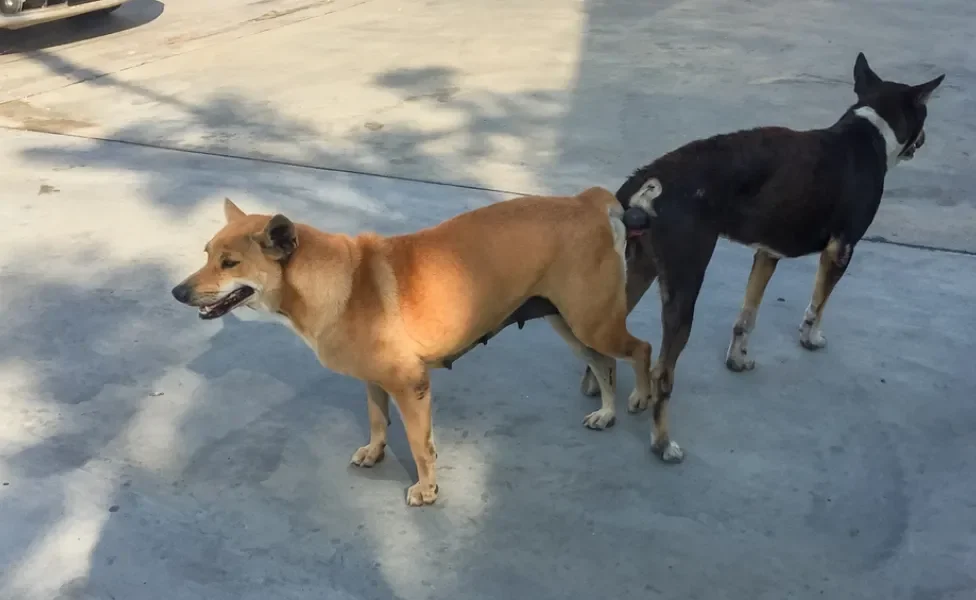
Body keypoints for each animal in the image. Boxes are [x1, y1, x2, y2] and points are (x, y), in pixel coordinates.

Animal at [172, 189, 660, 506]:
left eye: (230, 263)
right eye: (206, 253)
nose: (177, 292)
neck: (338, 281)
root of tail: (586, 200)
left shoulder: (411, 386)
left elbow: (419, 444)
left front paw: (427, 490)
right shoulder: (374, 381)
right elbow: (378, 421)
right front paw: (375, 452)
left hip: (593, 322)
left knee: (641, 350)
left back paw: (641, 398)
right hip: (571, 325)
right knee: (604, 365)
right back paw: (607, 413)